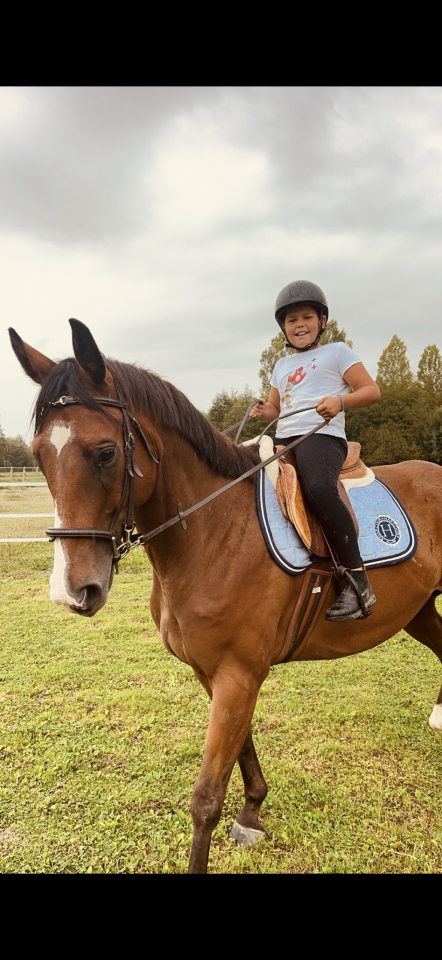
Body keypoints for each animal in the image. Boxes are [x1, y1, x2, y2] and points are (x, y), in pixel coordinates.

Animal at [8, 319, 442, 874]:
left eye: (105, 452)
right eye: (39, 456)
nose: (72, 590)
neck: (216, 531)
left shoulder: (239, 673)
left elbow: (206, 798)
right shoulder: (216, 673)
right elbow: (243, 749)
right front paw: (253, 812)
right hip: (419, 609)